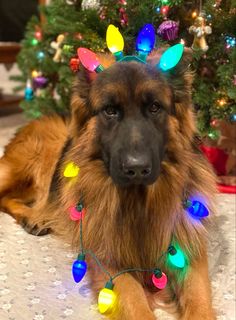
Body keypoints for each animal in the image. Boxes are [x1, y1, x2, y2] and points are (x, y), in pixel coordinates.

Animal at [0, 50, 218, 320]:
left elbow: (199, 303)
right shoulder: (110, 263)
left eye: (154, 107)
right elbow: (137, 305)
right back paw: (32, 216)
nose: (137, 169)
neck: (138, 200)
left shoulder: (188, 254)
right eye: (110, 111)